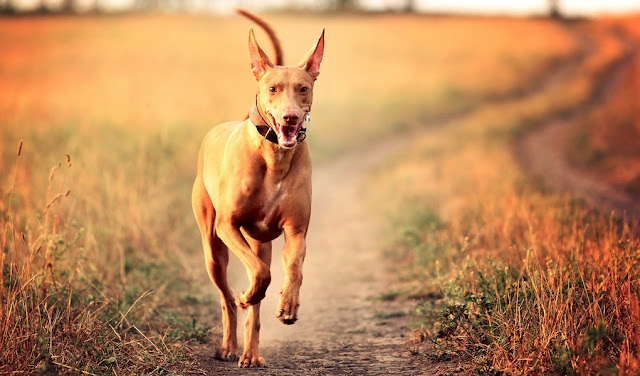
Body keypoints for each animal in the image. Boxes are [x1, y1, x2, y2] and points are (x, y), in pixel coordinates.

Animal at [188, 10, 322, 368]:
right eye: (272, 88)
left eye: (303, 88)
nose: (290, 119)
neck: (274, 157)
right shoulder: (227, 226)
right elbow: (260, 276)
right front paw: (248, 295)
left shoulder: (295, 232)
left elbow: (294, 269)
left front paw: (288, 306)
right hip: (213, 248)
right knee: (227, 298)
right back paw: (229, 344)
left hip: (261, 242)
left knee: (257, 297)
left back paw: (250, 352)